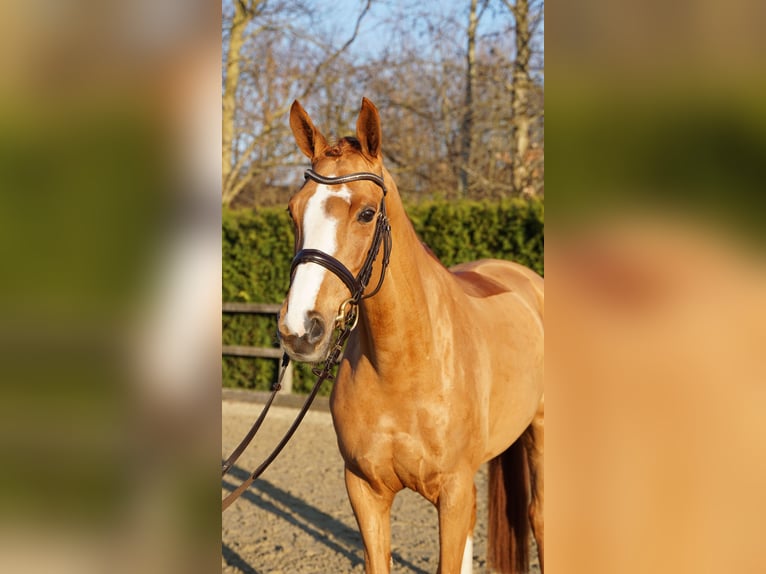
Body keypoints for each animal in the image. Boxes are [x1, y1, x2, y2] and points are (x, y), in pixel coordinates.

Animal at [277, 98, 544, 574]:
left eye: (367, 213)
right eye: (293, 211)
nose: (300, 330)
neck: (404, 365)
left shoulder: (452, 493)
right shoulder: (365, 491)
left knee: (541, 519)